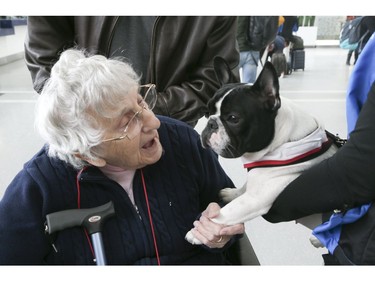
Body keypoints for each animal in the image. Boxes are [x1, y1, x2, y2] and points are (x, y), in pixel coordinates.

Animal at [187, 58, 340, 244]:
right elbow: (245, 187)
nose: (211, 123)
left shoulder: (255, 199)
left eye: (233, 118)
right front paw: (232, 193)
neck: (282, 141)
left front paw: (199, 232)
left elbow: (227, 213)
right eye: (207, 113)